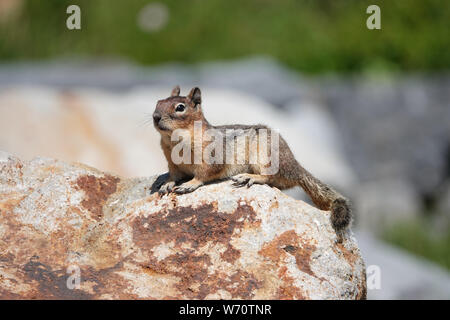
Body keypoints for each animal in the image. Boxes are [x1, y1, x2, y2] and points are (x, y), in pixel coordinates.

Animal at [153, 86, 354, 239]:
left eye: (180, 107)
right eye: (158, 102)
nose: (155, 116)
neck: (175, 140)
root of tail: (296, 166)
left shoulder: (211, 156)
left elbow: (204, 174)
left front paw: (189, 184)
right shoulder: (172, 164)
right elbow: (174, 175)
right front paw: (166, 184)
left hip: (264, 156)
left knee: (269, 177)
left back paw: (248, 177)